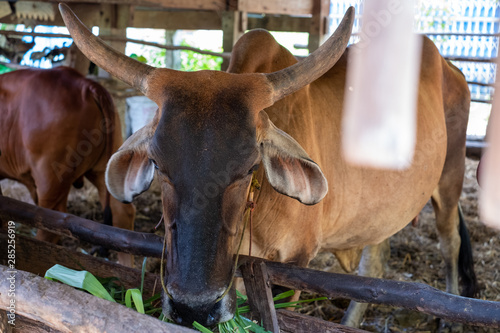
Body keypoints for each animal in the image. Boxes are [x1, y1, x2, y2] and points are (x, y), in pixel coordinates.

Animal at [59, 3, 476, 326]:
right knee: (374, 263)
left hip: (450, 177)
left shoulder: (296, 261)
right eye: (159, 165)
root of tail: (453, 70)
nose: (194, 307)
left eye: (249, 168)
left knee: (450, 241)